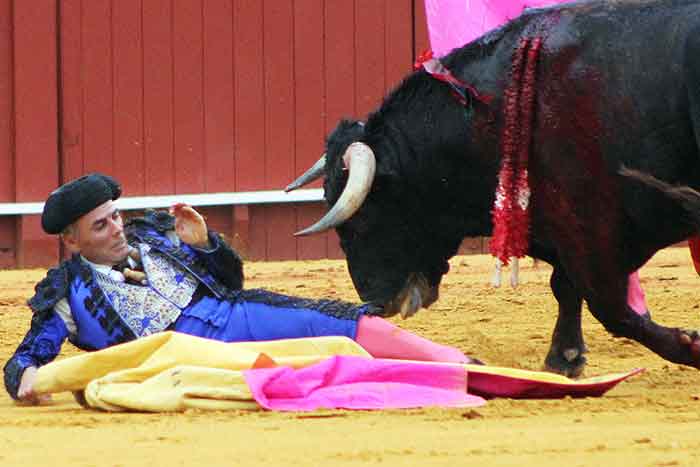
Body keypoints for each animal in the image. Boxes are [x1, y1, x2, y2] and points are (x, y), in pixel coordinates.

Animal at [288, 0, 700, 376]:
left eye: (364, 219)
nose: (375, 305)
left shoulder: (591, 225)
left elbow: (609, 307)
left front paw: (689, 346)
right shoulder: (563, 224)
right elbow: (566, 287)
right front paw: (564, 358)